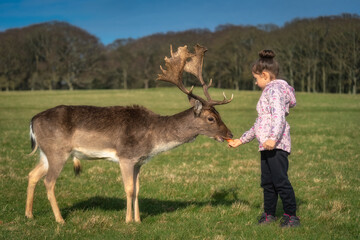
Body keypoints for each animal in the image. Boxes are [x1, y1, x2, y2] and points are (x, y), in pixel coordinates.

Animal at [25, 44, 233, 224]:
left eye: (219, 114)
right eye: (211, 118)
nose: (229, 133)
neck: (153, 138)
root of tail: (33, 120)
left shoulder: (139, 161)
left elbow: (138, 189)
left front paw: (138, 220)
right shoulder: (126, 156)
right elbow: (129, 189)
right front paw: (127, 220)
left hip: (46, 152)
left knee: (33, 174)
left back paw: (29, 215)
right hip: (57, 151)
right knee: (49, 181)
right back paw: (60, 219)